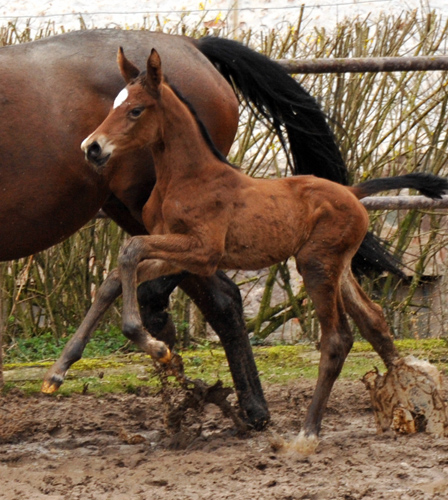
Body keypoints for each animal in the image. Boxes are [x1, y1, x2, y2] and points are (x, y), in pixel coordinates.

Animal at [80, 49, 448, 450]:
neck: (187, 178)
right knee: (375, 321)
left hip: (315, 265)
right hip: (339, 267)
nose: (92, 147)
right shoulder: (175, 252)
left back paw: (308, 432)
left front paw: (145, 338)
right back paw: (411, 403)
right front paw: (63, 369)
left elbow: (131, 249)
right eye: (114, 105)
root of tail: (352, 192)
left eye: (136, 110)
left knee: (338, 338)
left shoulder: (204, 252)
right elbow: (125, 266)